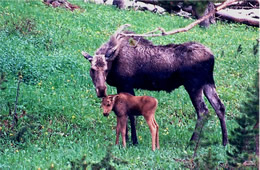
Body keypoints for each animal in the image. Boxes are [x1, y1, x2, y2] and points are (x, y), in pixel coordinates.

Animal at [82, 25, 229, 146]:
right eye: (92, 69)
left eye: (106, 69)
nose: (101, 90)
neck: (115, 59)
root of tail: (212, 57)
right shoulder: (121, 86)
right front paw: (126, 139)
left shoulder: (127, 84)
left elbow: (131, 115)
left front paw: (133, 141)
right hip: (208, 83)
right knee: (219, 107)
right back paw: (224, 142)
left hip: (194, 85)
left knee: (203, 111)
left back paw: (192, 142)